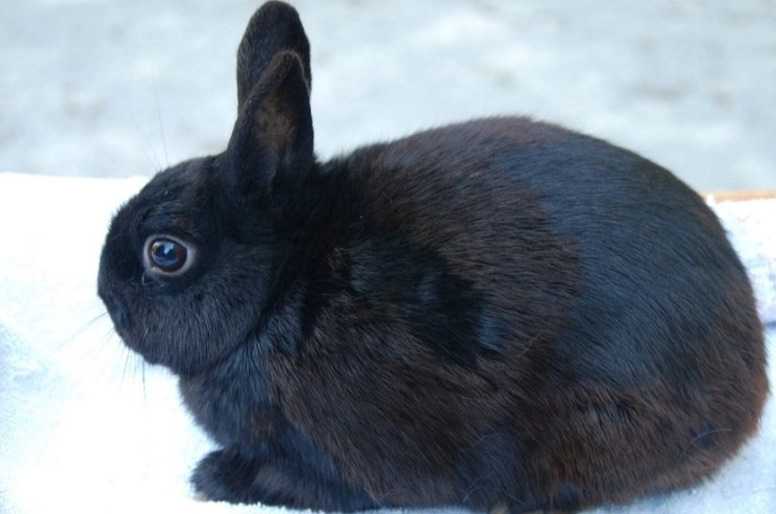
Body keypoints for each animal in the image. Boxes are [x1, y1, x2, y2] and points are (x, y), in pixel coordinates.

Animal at [97, 1, 768, 512]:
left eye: (165, 253)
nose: (104, 294)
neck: (280, 287)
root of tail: (751, 370)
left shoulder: (339, 455)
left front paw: (213, 478)